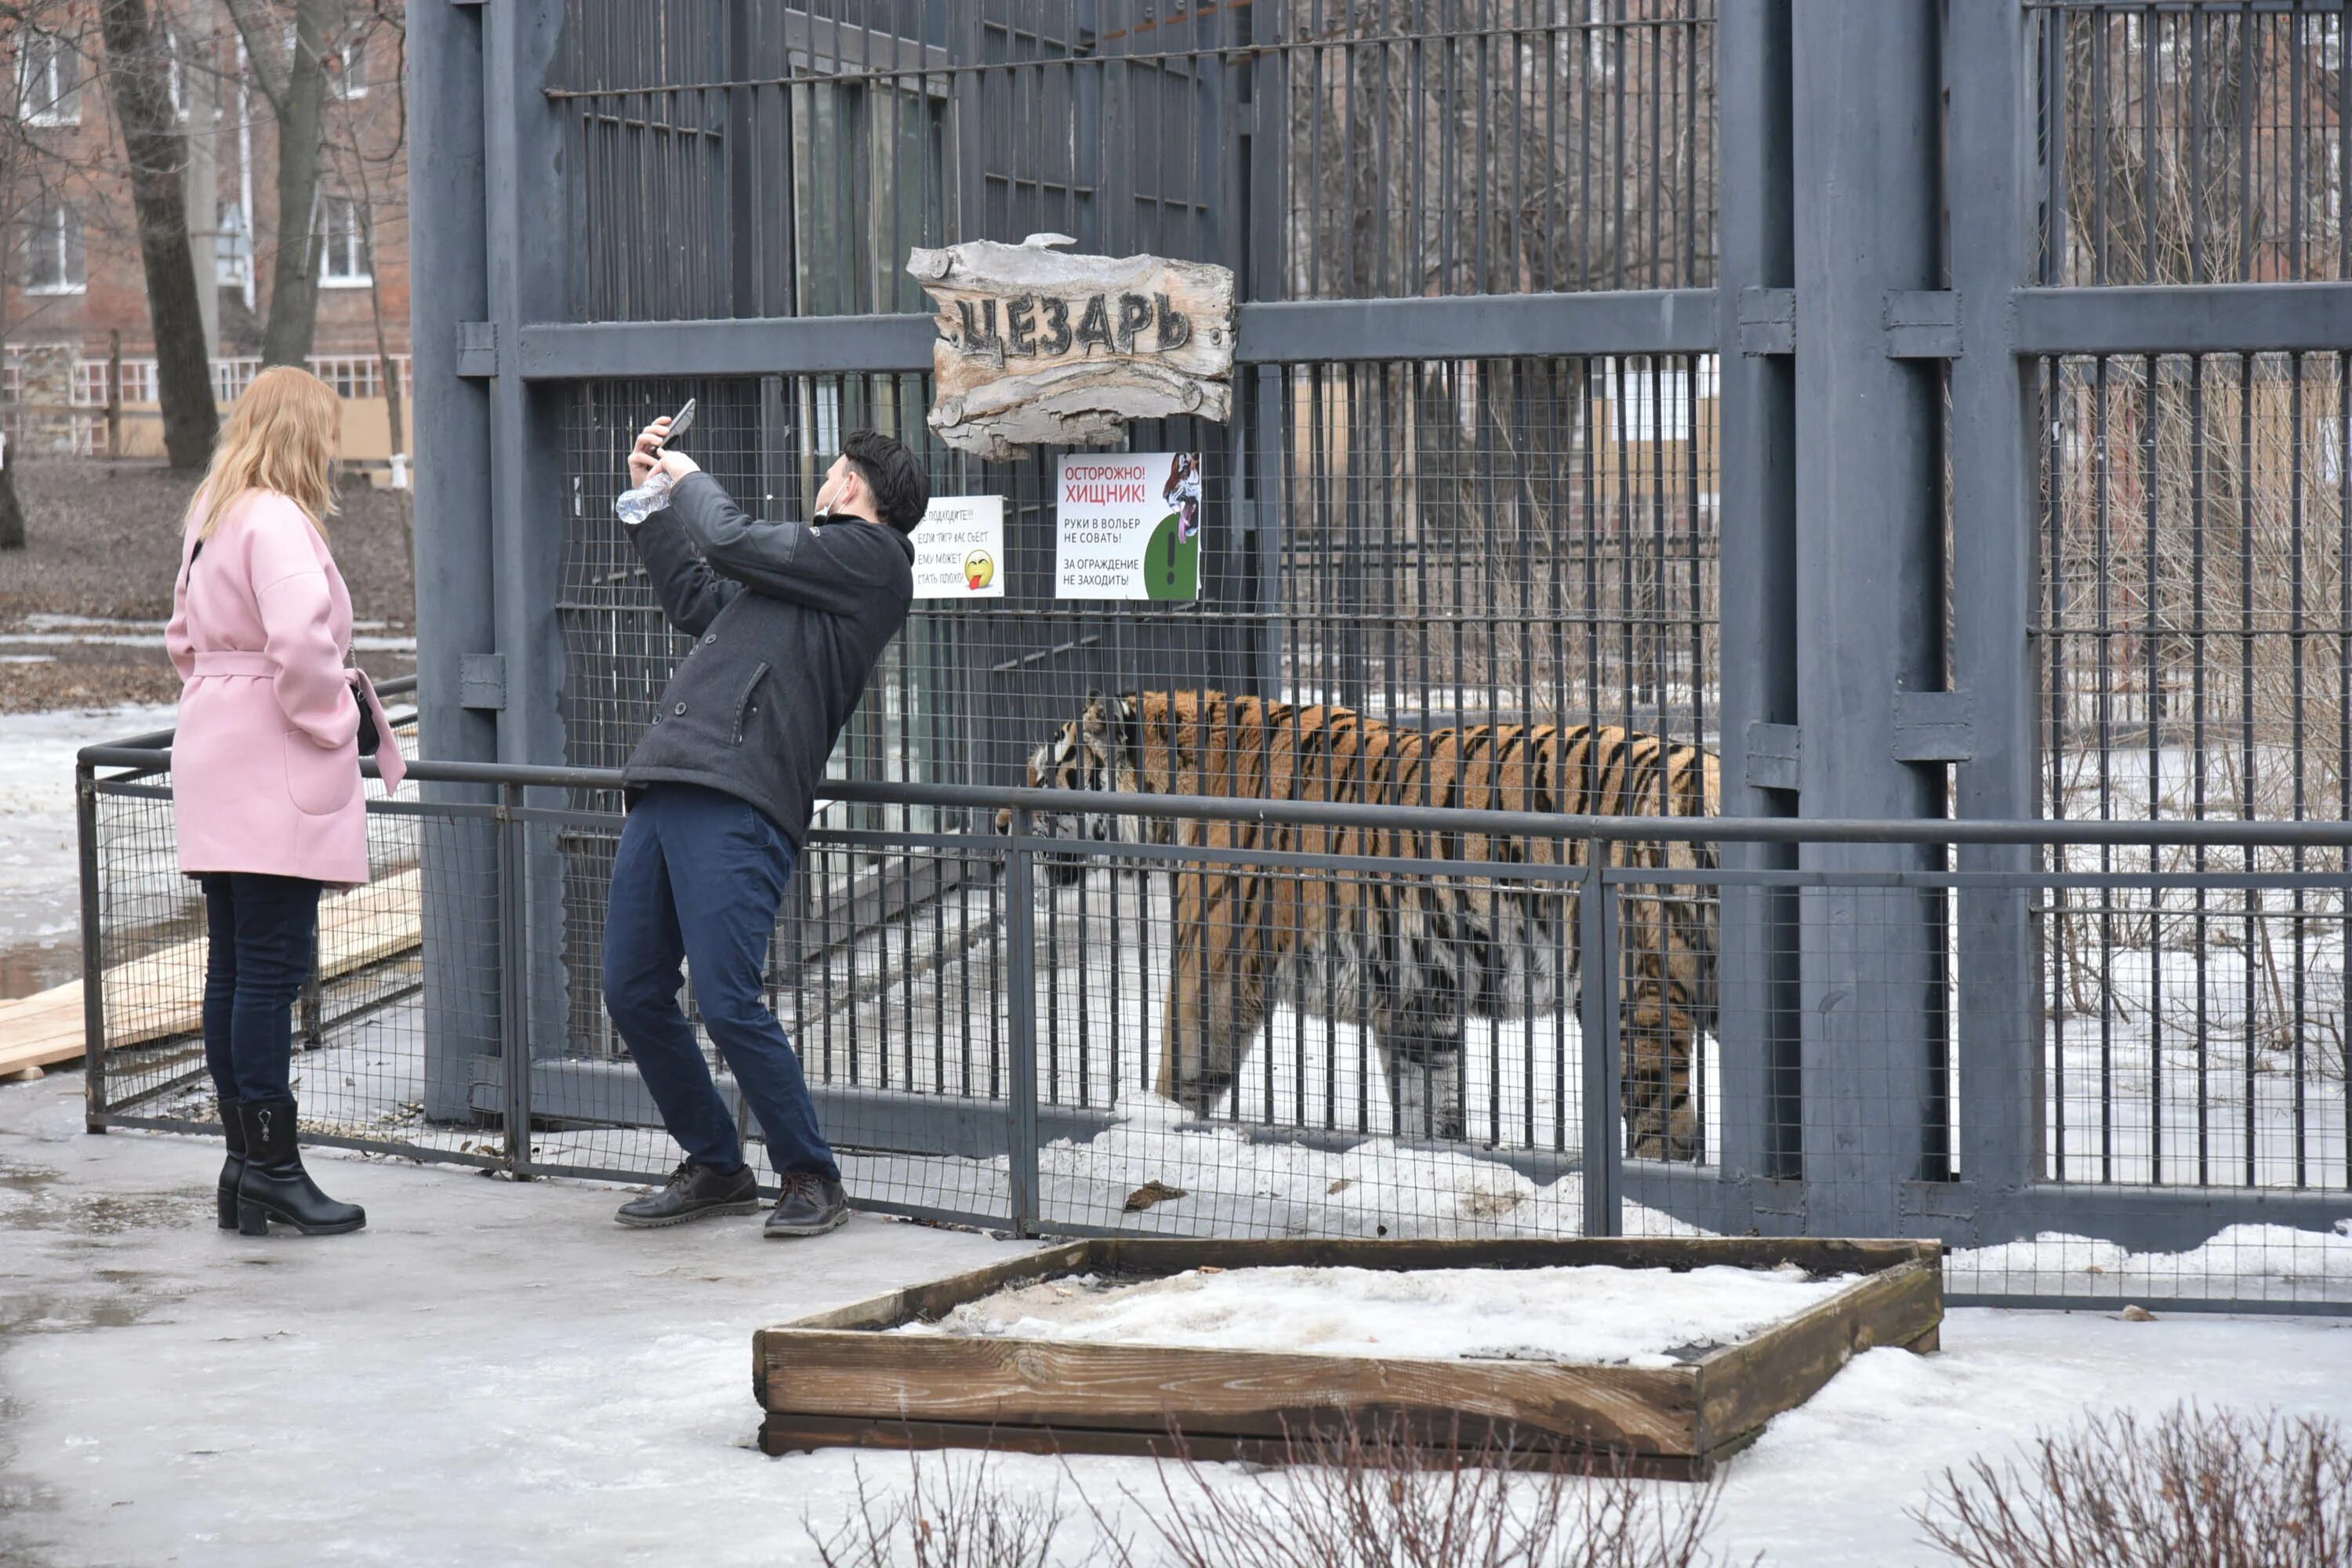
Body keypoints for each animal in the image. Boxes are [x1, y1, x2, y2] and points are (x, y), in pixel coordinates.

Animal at [997, 691, 1731, 1161]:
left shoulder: (1216, 967)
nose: (1000, 823)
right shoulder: (1417, 1004)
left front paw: (1154, 1133)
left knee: (1668, 1128)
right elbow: (1429, 1108)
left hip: (1641, 997)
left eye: (1046, 767)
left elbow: (1183, 1067)